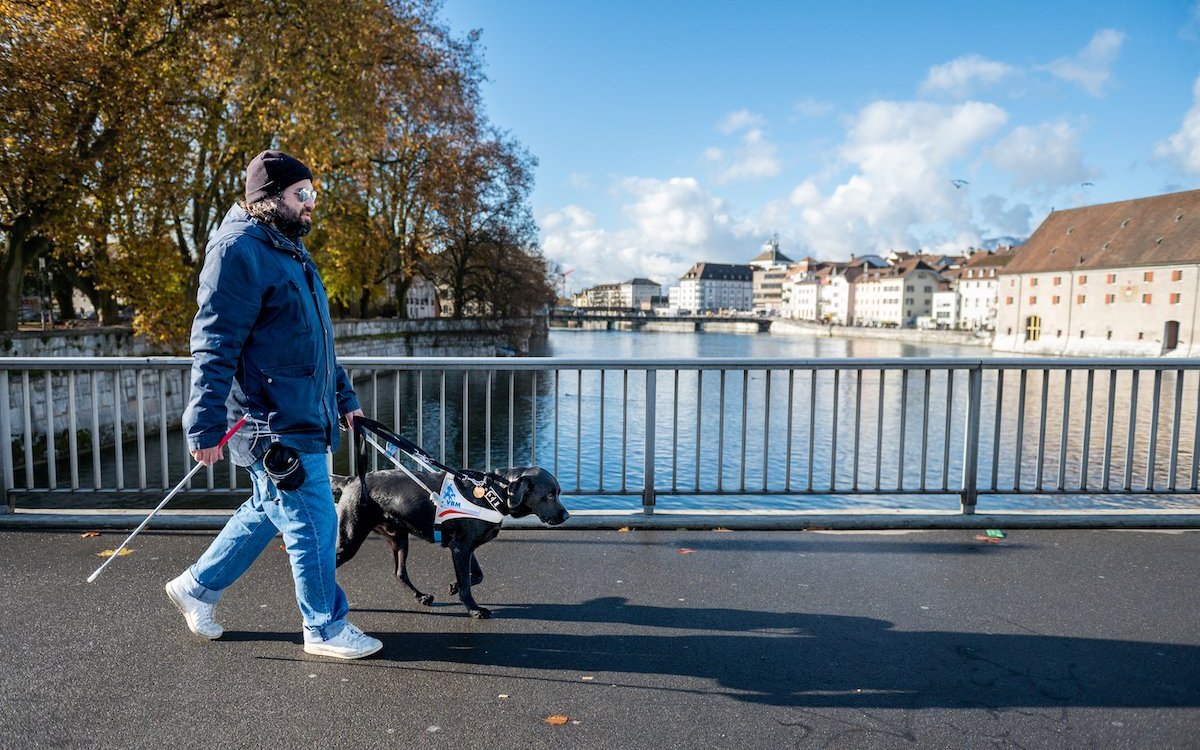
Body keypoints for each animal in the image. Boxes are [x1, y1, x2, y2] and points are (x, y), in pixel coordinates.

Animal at [331, 465, 568, 619]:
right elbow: (467, 584)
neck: (493, 494)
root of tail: (351, 480)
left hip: (399, 538)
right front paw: (474, 609)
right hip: (349, 540)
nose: (566, 516)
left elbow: (476, 575)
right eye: (549, 495)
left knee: (399, 573)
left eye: (558, 493)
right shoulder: (460, 548)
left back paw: (421, 597)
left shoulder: (467, 547)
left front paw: (454, 587)